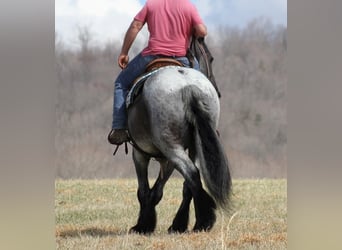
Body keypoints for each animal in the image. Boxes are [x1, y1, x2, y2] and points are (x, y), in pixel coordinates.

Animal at [126, 65, 232, 233]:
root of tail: (186, 85)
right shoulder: (168, 159)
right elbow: (157, 190)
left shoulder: (140, 154)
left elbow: (143, 190)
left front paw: (142, 225)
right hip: (190, 147)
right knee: (190, 179)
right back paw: (183, 224)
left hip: (171, 147)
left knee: (192, 173)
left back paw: (203, 221)